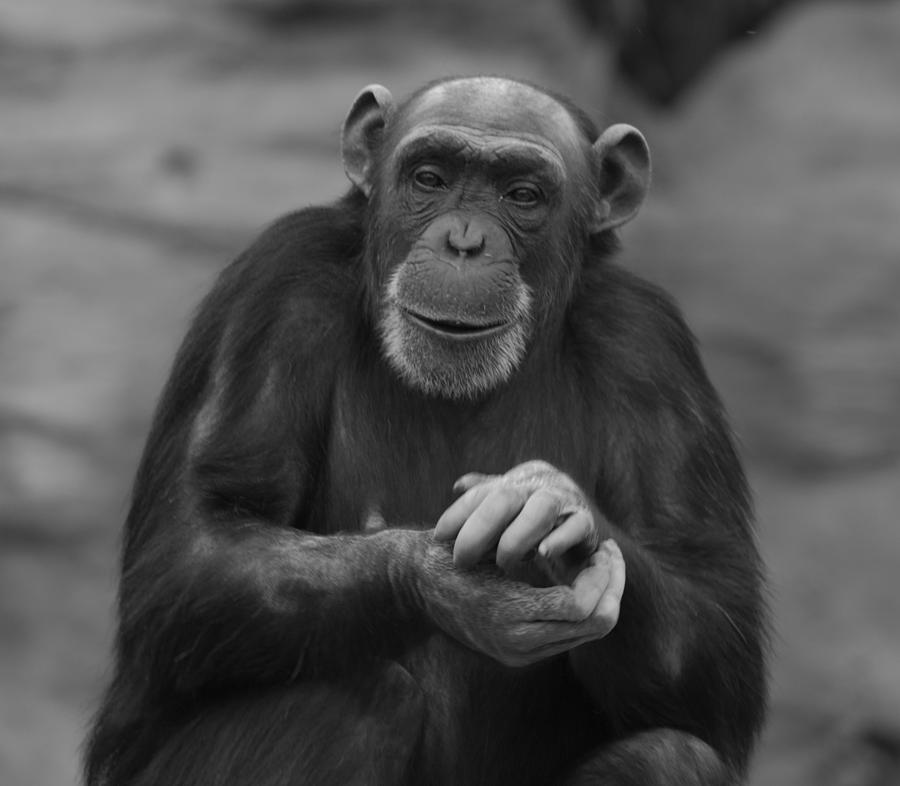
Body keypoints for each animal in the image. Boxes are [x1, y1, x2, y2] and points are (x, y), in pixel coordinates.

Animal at [84, 78, 768, 784]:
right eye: (430, 178)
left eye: (522, 195)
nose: (464, 241)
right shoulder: (276, 284)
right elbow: (198, 539)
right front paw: (440, 579)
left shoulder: (649, 347)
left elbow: (713, 625)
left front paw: (558, 512)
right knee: (344, 702)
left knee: (669, 755)